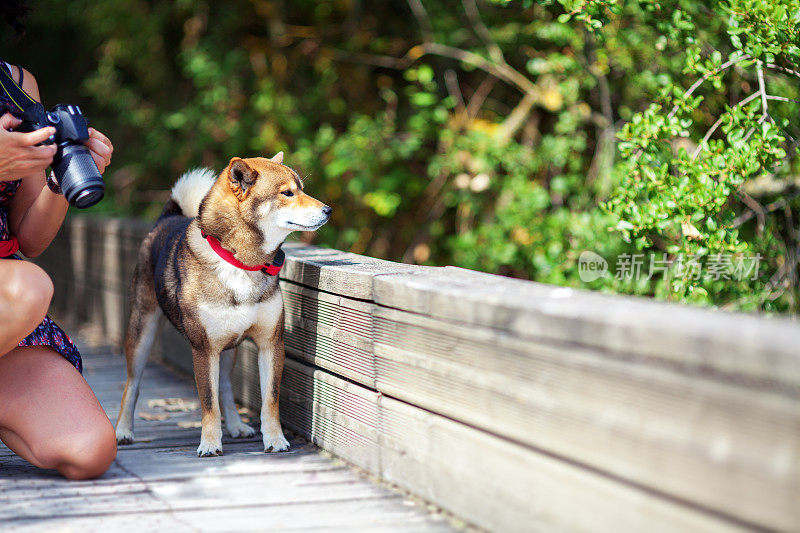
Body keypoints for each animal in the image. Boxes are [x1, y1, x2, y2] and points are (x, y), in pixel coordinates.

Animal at [114, 152, 330, 456]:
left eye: (302, 189)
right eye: (287, 193)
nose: (328, 210)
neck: (241, 262)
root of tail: (168, 217)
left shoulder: (271, 344)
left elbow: (270, 399)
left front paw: (274, 439)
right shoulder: (204, 349)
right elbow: (208, 401)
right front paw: (209, 443)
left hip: (229, 347)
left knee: (226, 387)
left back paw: (237, 426)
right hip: (142, 332)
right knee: (132, 384)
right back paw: (123, 430)